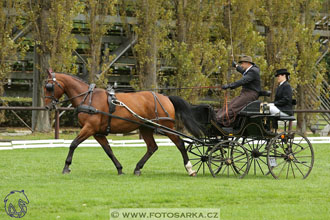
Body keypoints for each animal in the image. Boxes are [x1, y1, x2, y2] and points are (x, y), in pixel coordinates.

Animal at [43, 71, 204, 176]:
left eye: (49, 87)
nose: (47, 107)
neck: (89, 99)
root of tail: (165, 97)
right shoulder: (98, 133)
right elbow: (108, 150)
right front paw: (119, 168)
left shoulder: (89, 128)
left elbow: (73, 144)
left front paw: (66, 167)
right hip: (145, 128)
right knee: (152, 147)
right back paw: (138, 168)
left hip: (166, 128)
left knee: (180, 144)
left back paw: (190, 169)